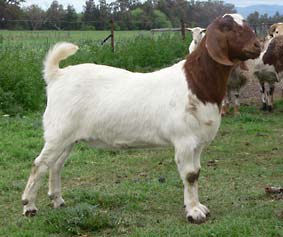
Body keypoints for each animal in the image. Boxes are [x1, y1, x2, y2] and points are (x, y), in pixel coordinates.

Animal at [22, 13, 262, 223]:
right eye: (228, 27)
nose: (257, 46)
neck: (196, 82)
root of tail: (56, 75)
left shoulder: (198, 143)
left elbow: (197, 173)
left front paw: (199, 207)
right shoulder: (184, 141)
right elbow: (190, 175)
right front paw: (194, 213)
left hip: (68, 138)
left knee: (56, 165)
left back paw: (57, 200)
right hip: (58, 133)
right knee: (39, 164)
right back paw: (29, 206)